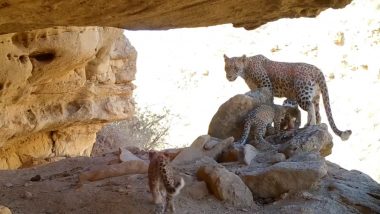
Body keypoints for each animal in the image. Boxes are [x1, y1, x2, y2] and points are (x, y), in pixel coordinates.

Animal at [224, 53, 352, 140]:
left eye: (235, 68)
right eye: (226, 67)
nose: (229, 76)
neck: (246, 69)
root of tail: (317, 70)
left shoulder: (266, 85)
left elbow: (269, 102)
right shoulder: (256, 88)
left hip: (302, 93)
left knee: (309, 106)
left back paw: (310, 125)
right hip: (315, 95)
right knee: (317, 111)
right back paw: (314, 125)